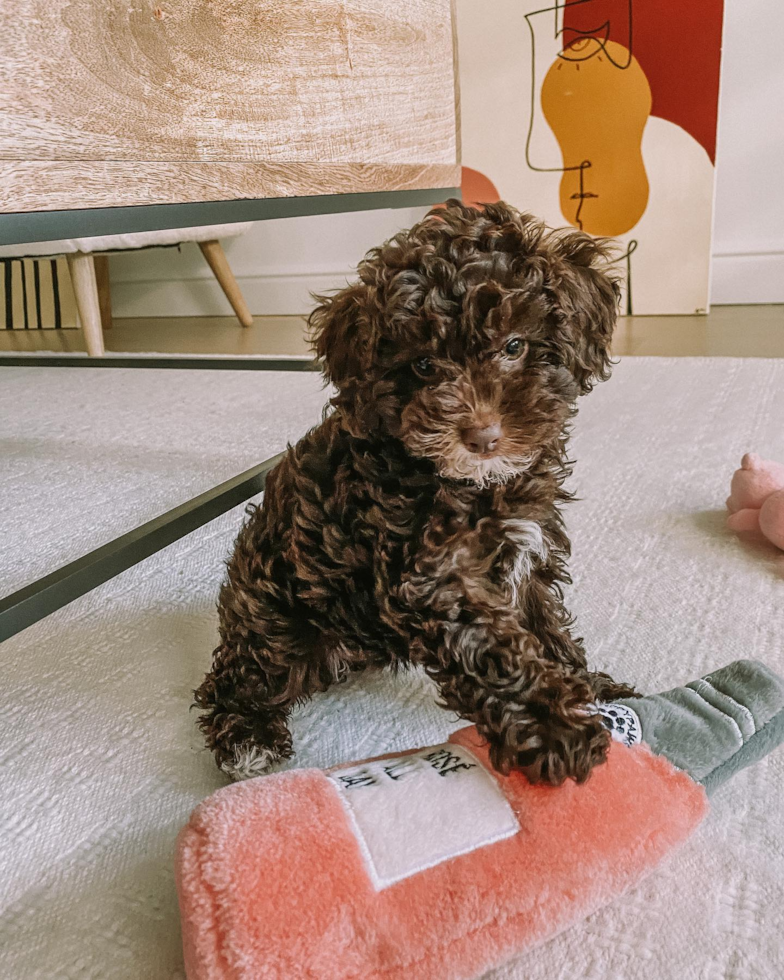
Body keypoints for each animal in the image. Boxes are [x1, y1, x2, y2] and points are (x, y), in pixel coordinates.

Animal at [194, 203, 636, 784]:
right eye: (424, 365)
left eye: (514, 346)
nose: (482, 437)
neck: (466, 483)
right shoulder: (430, 579)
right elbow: (498, 657)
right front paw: (558, 731)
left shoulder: (526, 551)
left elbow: (543, 627)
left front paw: (587, 688)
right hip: (278, 621)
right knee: (238, 676)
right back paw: (247, 738)